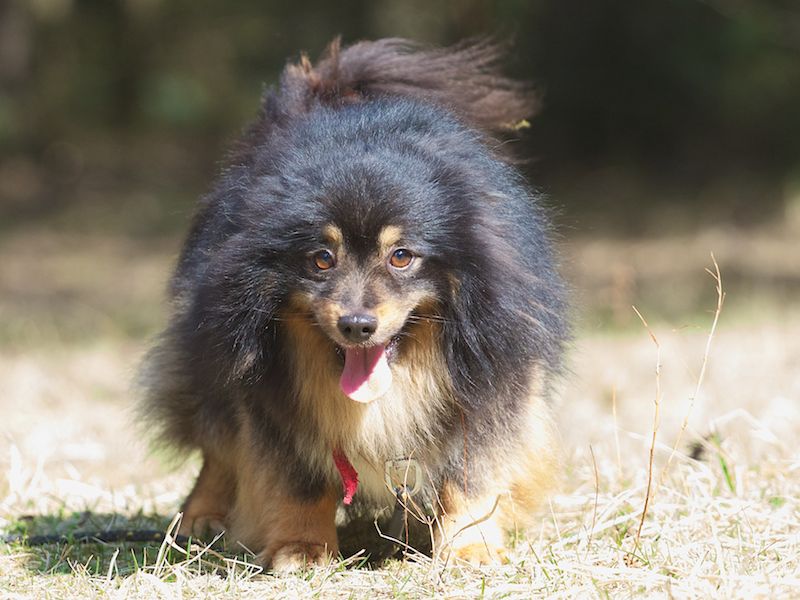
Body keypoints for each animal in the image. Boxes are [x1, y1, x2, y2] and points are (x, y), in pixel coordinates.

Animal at [139, 38, 568, 570]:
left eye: (401, 256)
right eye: (322, 259)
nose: (358, 325)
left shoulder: (492, 381)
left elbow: (470, 476)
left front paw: (470, 546)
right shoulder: (271, 398)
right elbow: (297, 480)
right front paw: (302, 548)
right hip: (211, 366)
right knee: (217, 442)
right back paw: (199, 517)